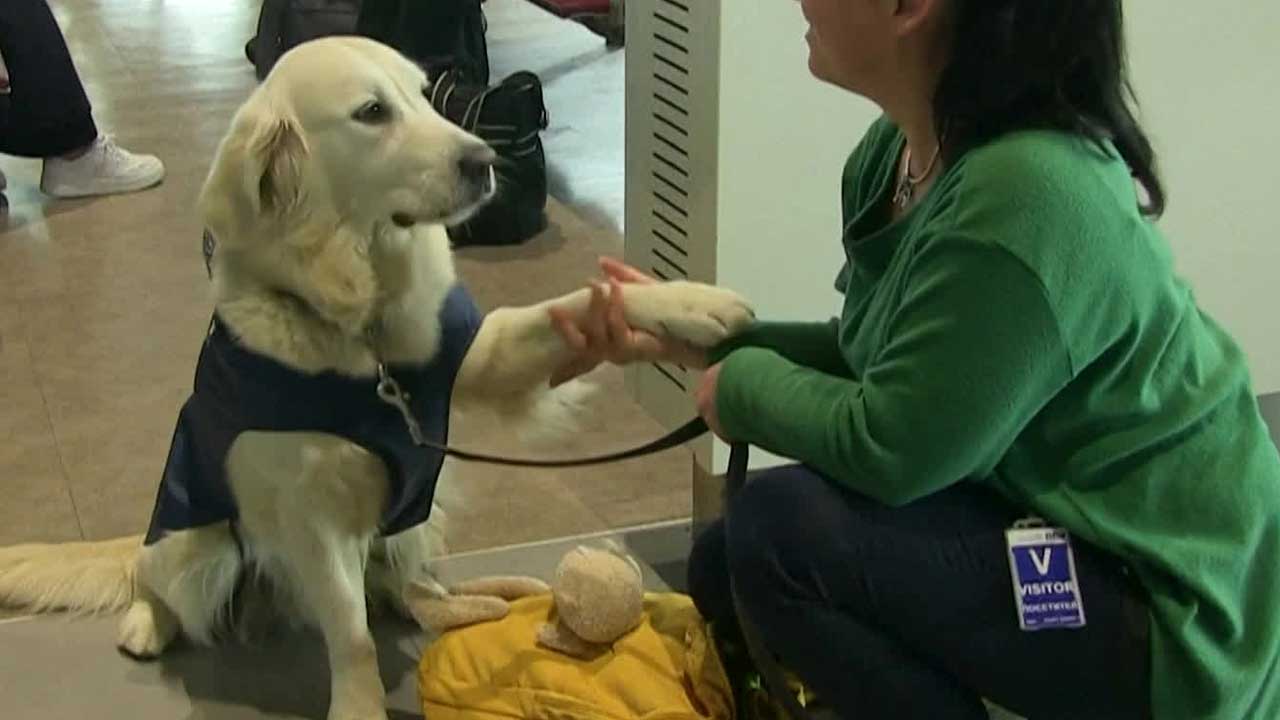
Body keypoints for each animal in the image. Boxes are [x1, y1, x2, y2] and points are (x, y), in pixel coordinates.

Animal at [0, 37, 747, 717]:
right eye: (371, 112)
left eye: (424, 95)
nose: (485, 161)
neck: (364, 323)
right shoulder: (313, 516)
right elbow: (351, 636)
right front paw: (357, 707)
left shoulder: (481, 355)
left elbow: (581, 305)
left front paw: (690, 304)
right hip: (195, 543)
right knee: (153, 578)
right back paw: (145, 624)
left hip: (416, 520)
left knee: (402, 581)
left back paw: (452, 601)